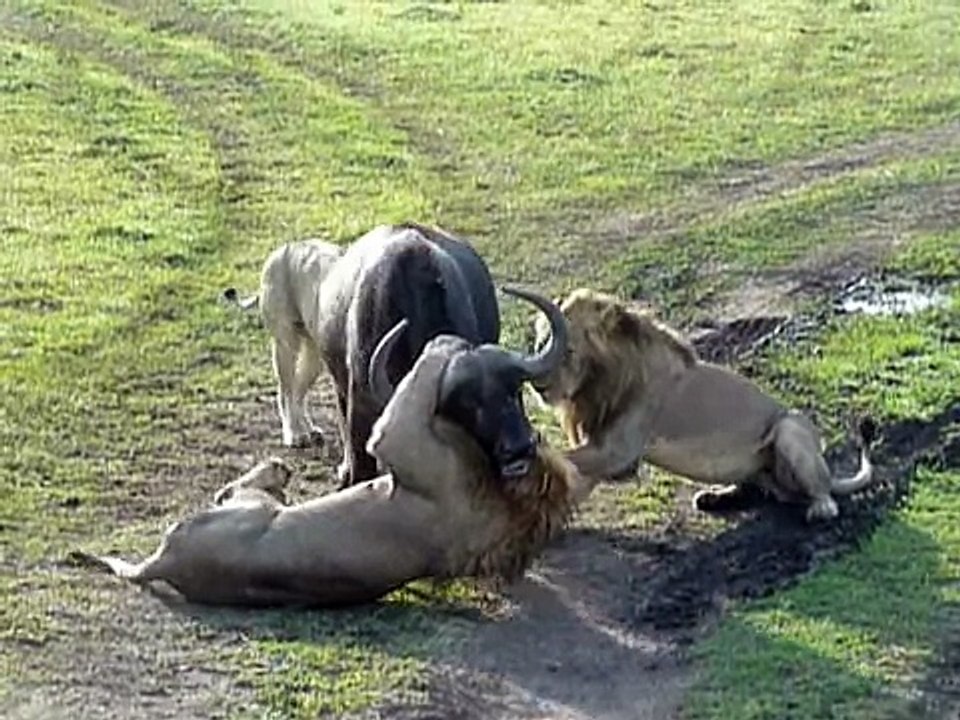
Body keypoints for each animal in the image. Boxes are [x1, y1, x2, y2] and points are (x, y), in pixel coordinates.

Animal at [66, 326, 597, 608]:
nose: (521, 447)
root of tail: (164, 562)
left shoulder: (400, 438)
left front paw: (444, 345)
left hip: (248, 509)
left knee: (232, 491)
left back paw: (276, 469)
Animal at [530, 288, 876, 522]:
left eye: (568, 350)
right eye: (541, 342)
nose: (537, 385)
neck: (595, 382)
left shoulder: (617, 450)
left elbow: (560, 458)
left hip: (789, 428)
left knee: (820, 491)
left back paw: (820, 509)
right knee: (763, 490)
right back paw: (713, 498)